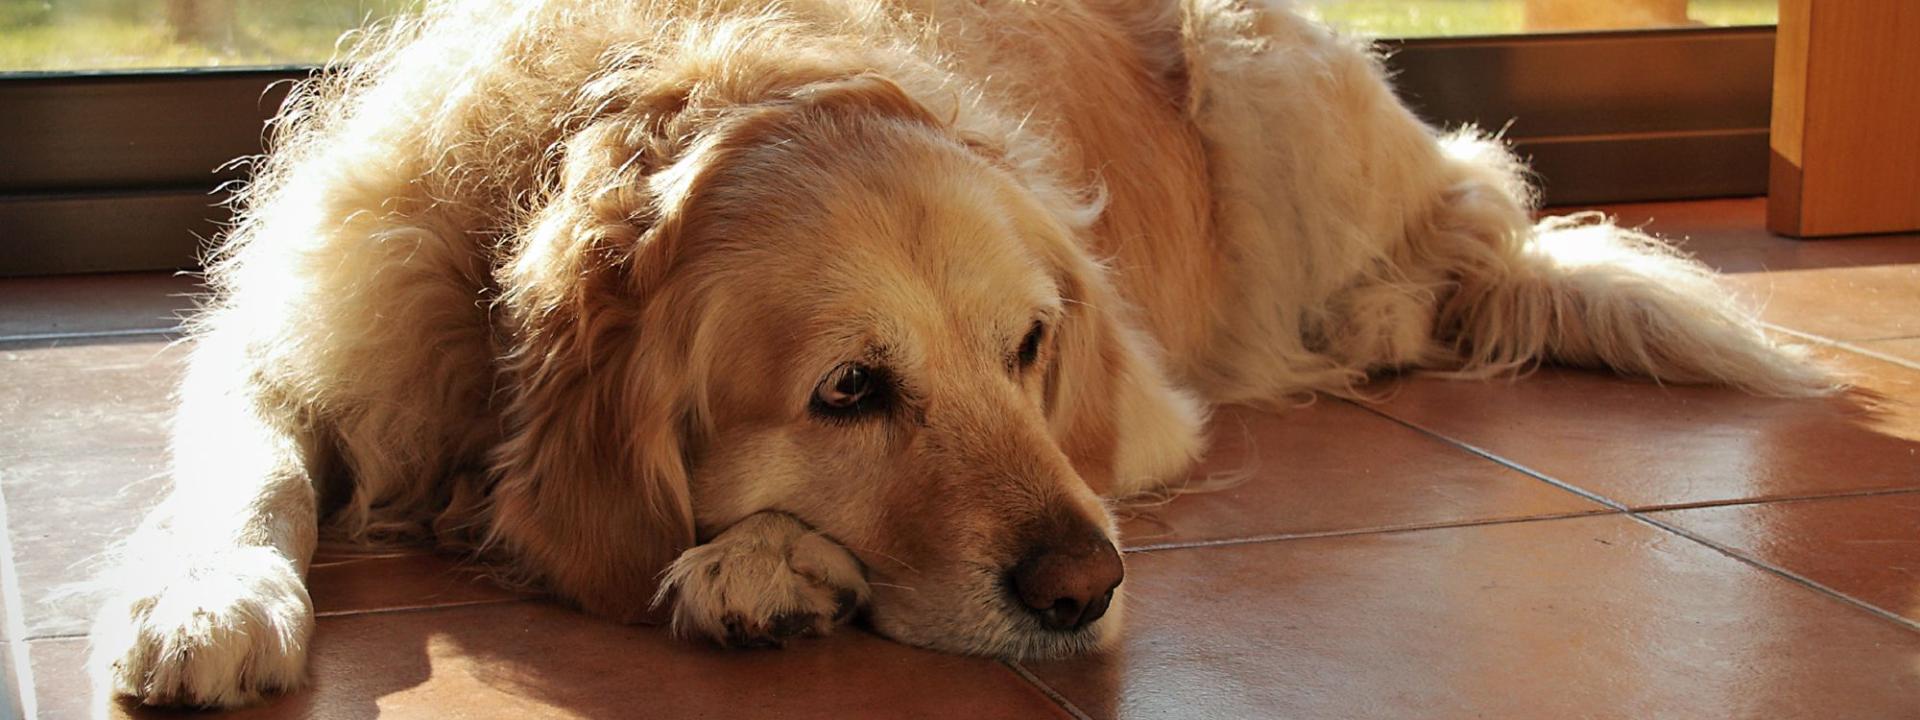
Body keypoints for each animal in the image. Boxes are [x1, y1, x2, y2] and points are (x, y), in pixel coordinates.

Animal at [90, 0, 1827, 710]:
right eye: (850, 391)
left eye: (1031, 349)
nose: (1086, 590)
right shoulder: (291, 336)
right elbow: (247, 470)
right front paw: (209, 599)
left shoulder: (1135, 410)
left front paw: (760, 563)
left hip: (1272, 89)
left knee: (1470, 228)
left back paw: (1376, 321)